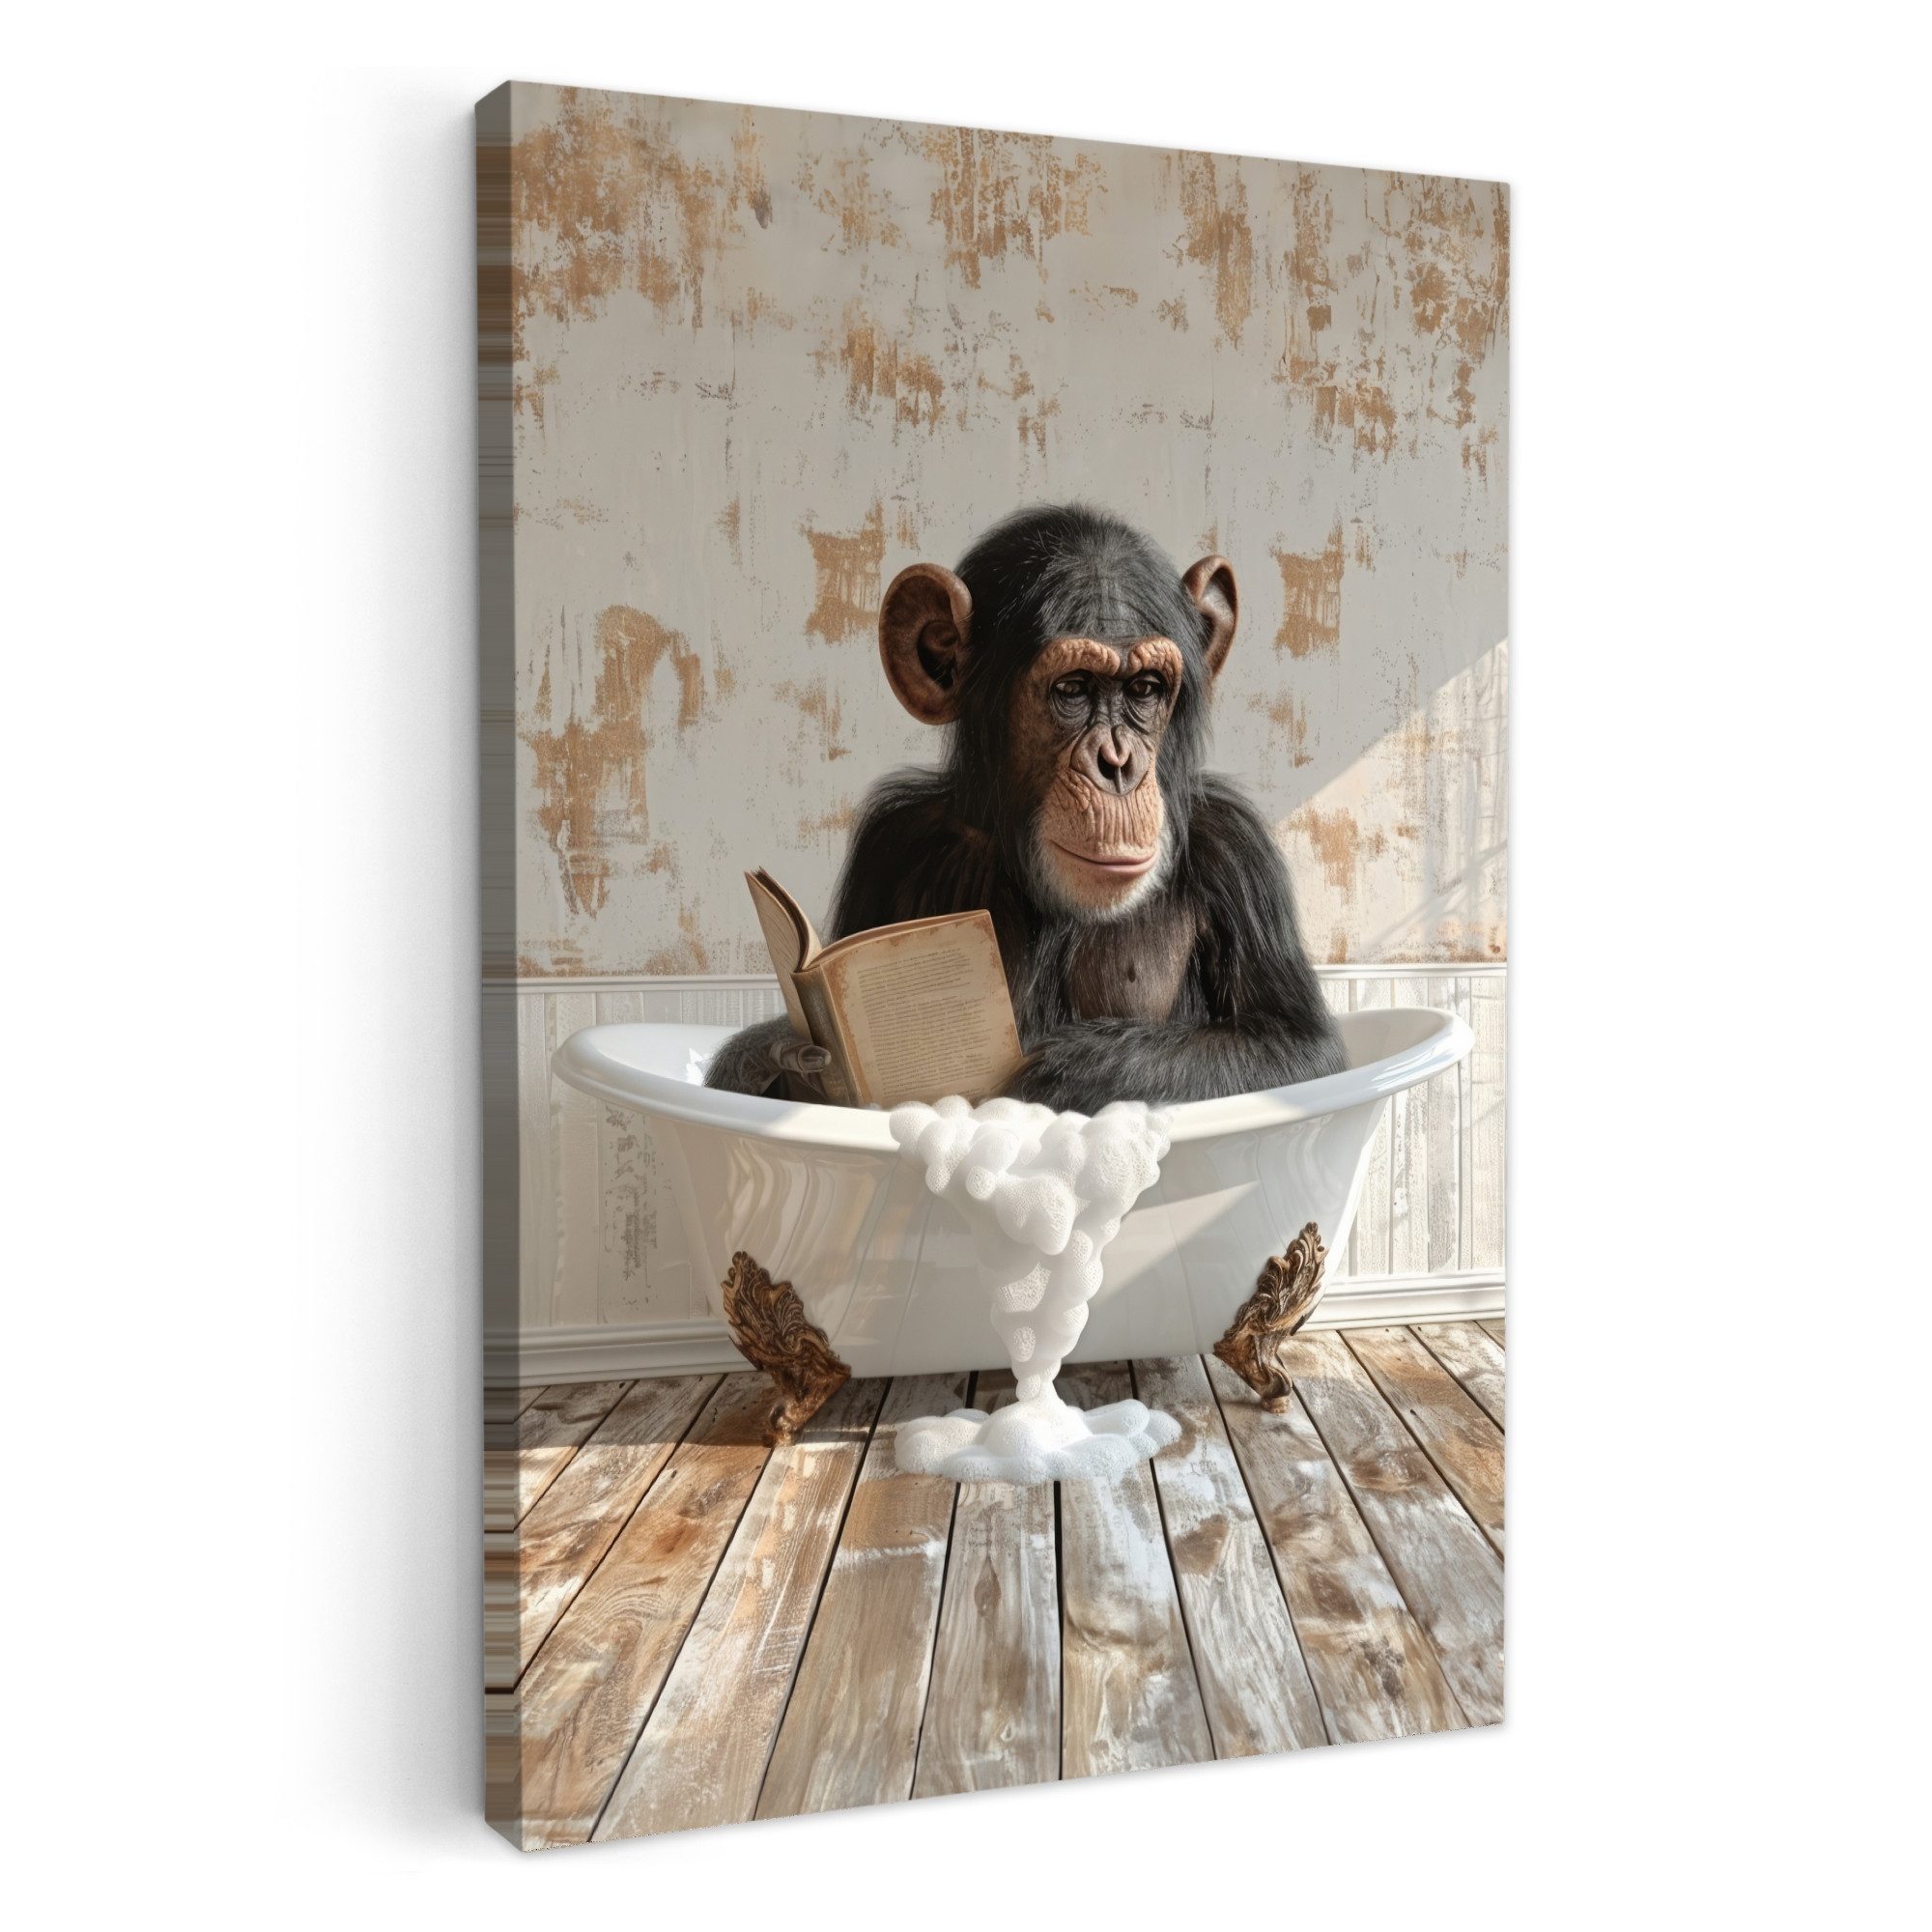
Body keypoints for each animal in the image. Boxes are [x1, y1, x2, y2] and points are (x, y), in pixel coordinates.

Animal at [707, 503, 1345, 1111]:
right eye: (1073, 689)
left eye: (1143, 690)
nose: (1117, 764)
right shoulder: (889, 843)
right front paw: (778, 1055)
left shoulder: (1237, 850)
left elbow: (1299, 1047)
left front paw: (1077, 1072)